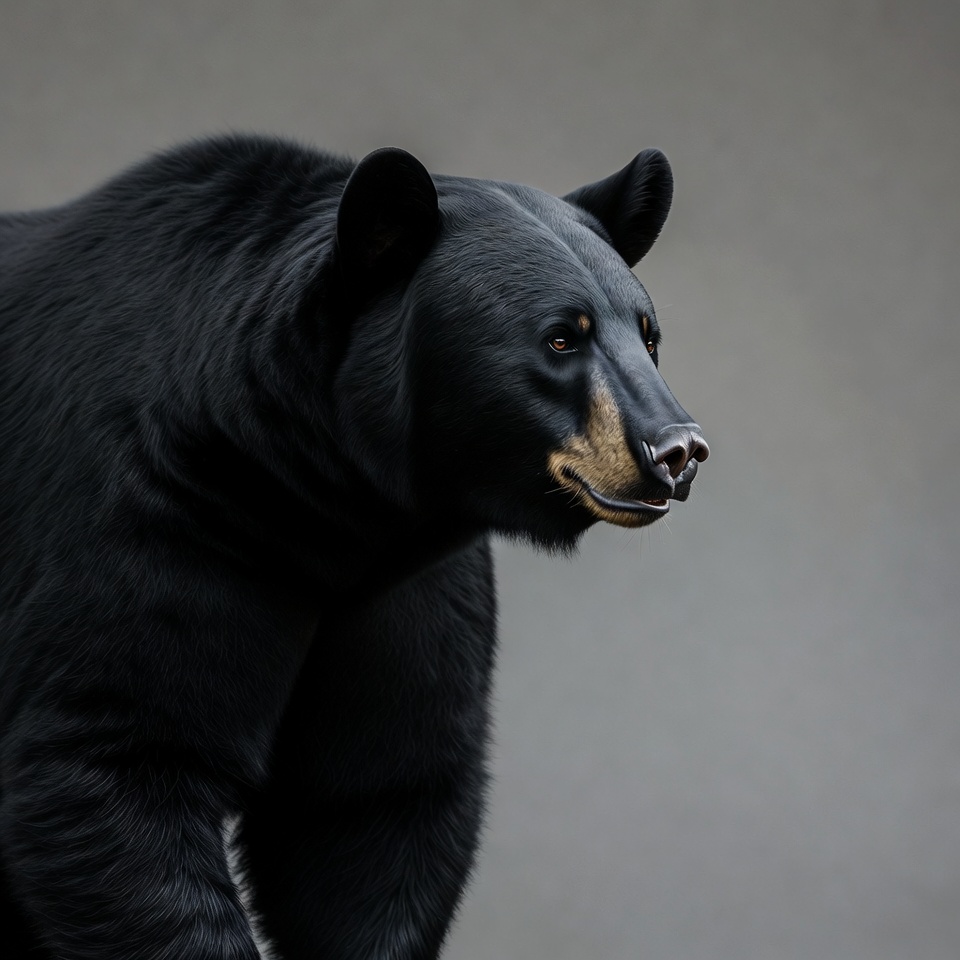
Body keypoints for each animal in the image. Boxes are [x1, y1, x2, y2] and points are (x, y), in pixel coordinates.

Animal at [0, 136, 708, 960]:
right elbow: (121, 750)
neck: (321, 502)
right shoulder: (163, 514)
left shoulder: (404, 585)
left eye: (649, 334)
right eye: (563, 336)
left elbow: (375, 796)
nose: (678, 450)